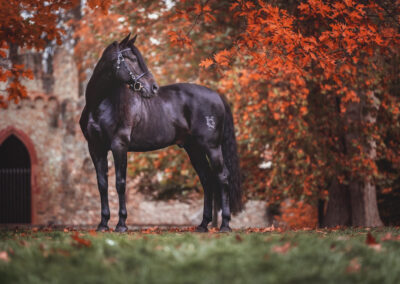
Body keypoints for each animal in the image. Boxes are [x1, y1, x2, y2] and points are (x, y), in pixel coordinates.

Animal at [78, 34, 241, 232]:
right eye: (130, 59)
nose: (153, 87)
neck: (100, 104)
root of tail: (217, 95)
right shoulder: (95, 148)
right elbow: (102, 184)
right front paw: (103, 224)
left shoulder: (119, 145)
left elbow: (120, 183)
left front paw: (121, 224)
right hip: (194, 149)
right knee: (207, 179)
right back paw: (203, 225)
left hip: (212, 147)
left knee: (222, 177)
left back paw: (225, 225)